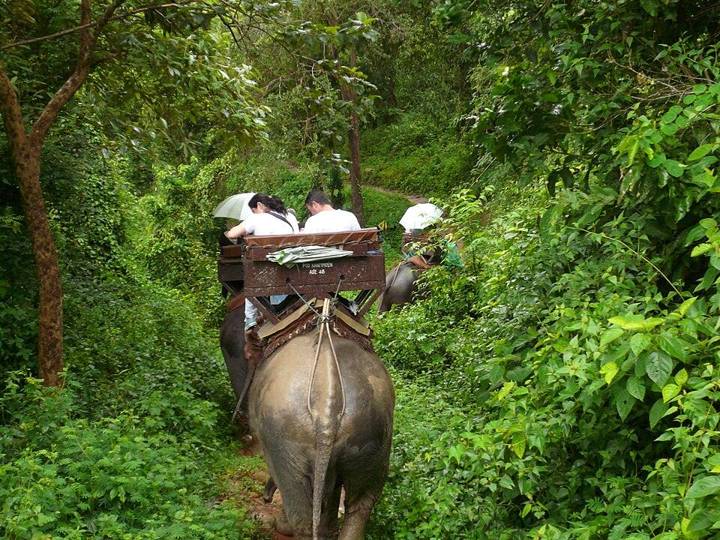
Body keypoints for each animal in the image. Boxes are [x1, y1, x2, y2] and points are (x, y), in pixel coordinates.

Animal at [249, 320, 394, 540]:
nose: (266, 499)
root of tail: (326, 406)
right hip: (373, 436)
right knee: (361, 502)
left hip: (285, 441)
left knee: (300, 511)